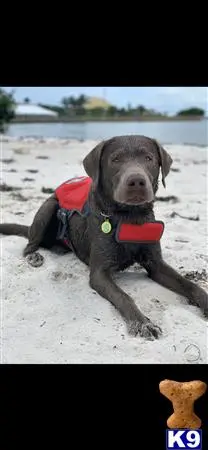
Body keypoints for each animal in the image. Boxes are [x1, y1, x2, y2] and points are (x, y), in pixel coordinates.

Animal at [0, 135, 207, 340]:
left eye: (149, 158)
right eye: (115, 159)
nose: (136, 181)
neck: (130, 217)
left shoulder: (156, 265)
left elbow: (190, 284)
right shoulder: (99, 273)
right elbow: (124, 296)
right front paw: (142, 323)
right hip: (49, 206)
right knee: (29, 244)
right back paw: (33, 255)